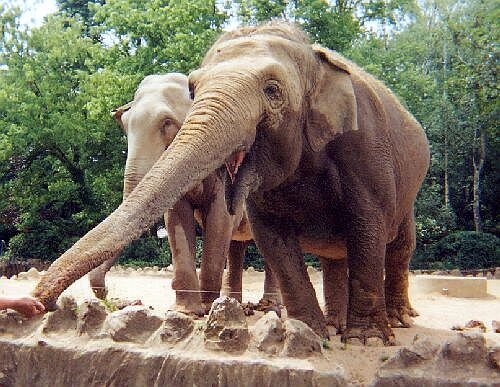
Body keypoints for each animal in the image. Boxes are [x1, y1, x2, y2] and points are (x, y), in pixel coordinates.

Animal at [89, 73, 282, 316]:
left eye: (166, 123)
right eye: (124, 125)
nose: (112, 298)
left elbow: (220, 217)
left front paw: (207, 308)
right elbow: (176, 218)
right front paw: (187, 311)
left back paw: (268, 307)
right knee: (236, 245)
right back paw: (236, 305)